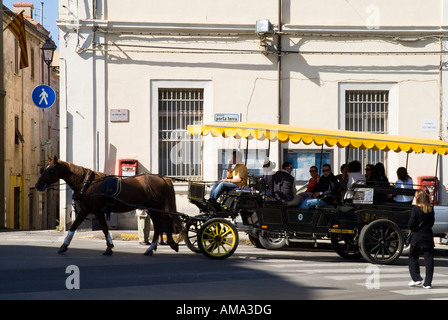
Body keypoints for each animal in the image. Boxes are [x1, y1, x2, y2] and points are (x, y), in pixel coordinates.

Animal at [35, 156, 182, 256]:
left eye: (51, 170)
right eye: (43, 169)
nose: (38, 185)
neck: (87, 183)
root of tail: (163, 178)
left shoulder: (98, 211)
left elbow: (105, 228)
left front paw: (109, 247)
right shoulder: (85, 210)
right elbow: (74, 226)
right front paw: (64, 245)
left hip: (157, 207)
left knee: (167, 221)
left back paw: (172, 243)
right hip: (151, 209)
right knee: (158, 226)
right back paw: (151, 248)